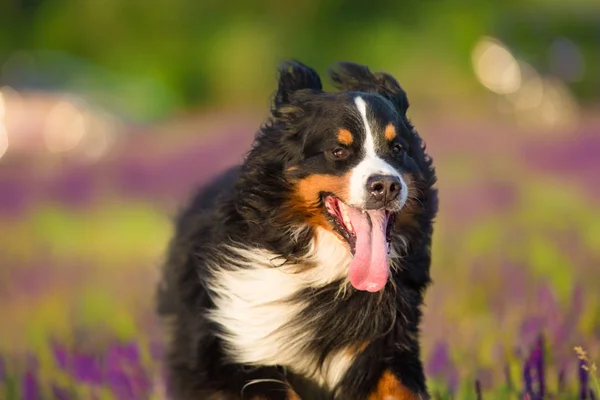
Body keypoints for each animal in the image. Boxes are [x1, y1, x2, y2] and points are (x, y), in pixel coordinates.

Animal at [157, 60, 438, 400]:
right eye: (339, 151)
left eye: (397, 148)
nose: (386, 186)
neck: (325, 273)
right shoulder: (240, 345)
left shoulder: (385, 342)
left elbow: (403, 387)